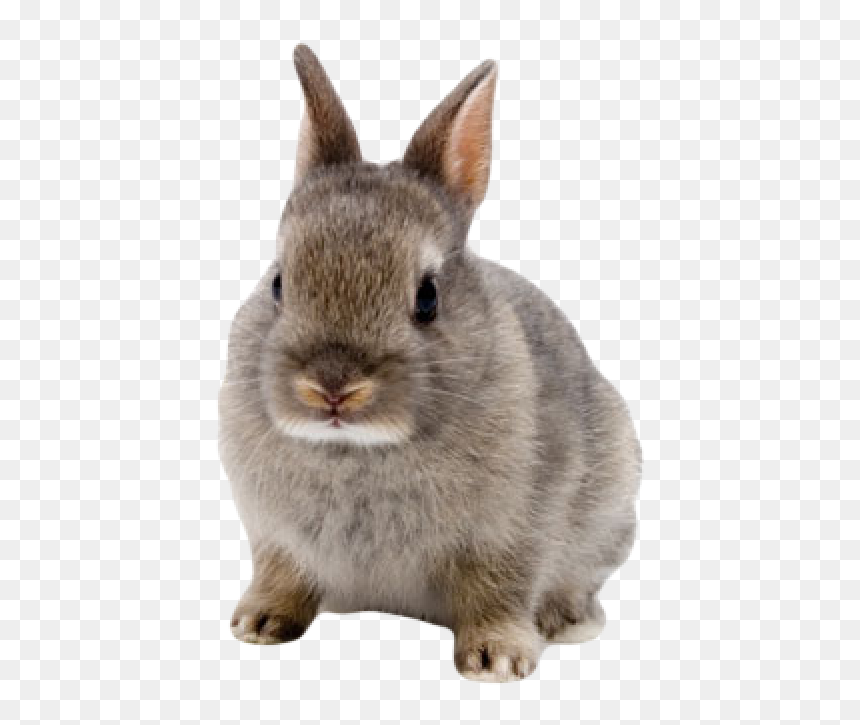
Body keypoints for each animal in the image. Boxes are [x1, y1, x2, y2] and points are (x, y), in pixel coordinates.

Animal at [219, 44, 641, 682]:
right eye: (278, 284)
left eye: (427, 297)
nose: (333, 387)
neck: (359, 449)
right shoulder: (274, 536)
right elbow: (281, 575)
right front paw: (259, 624)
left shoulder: (512, 533)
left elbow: (500, 590)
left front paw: (496, 660)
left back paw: (569, 621)